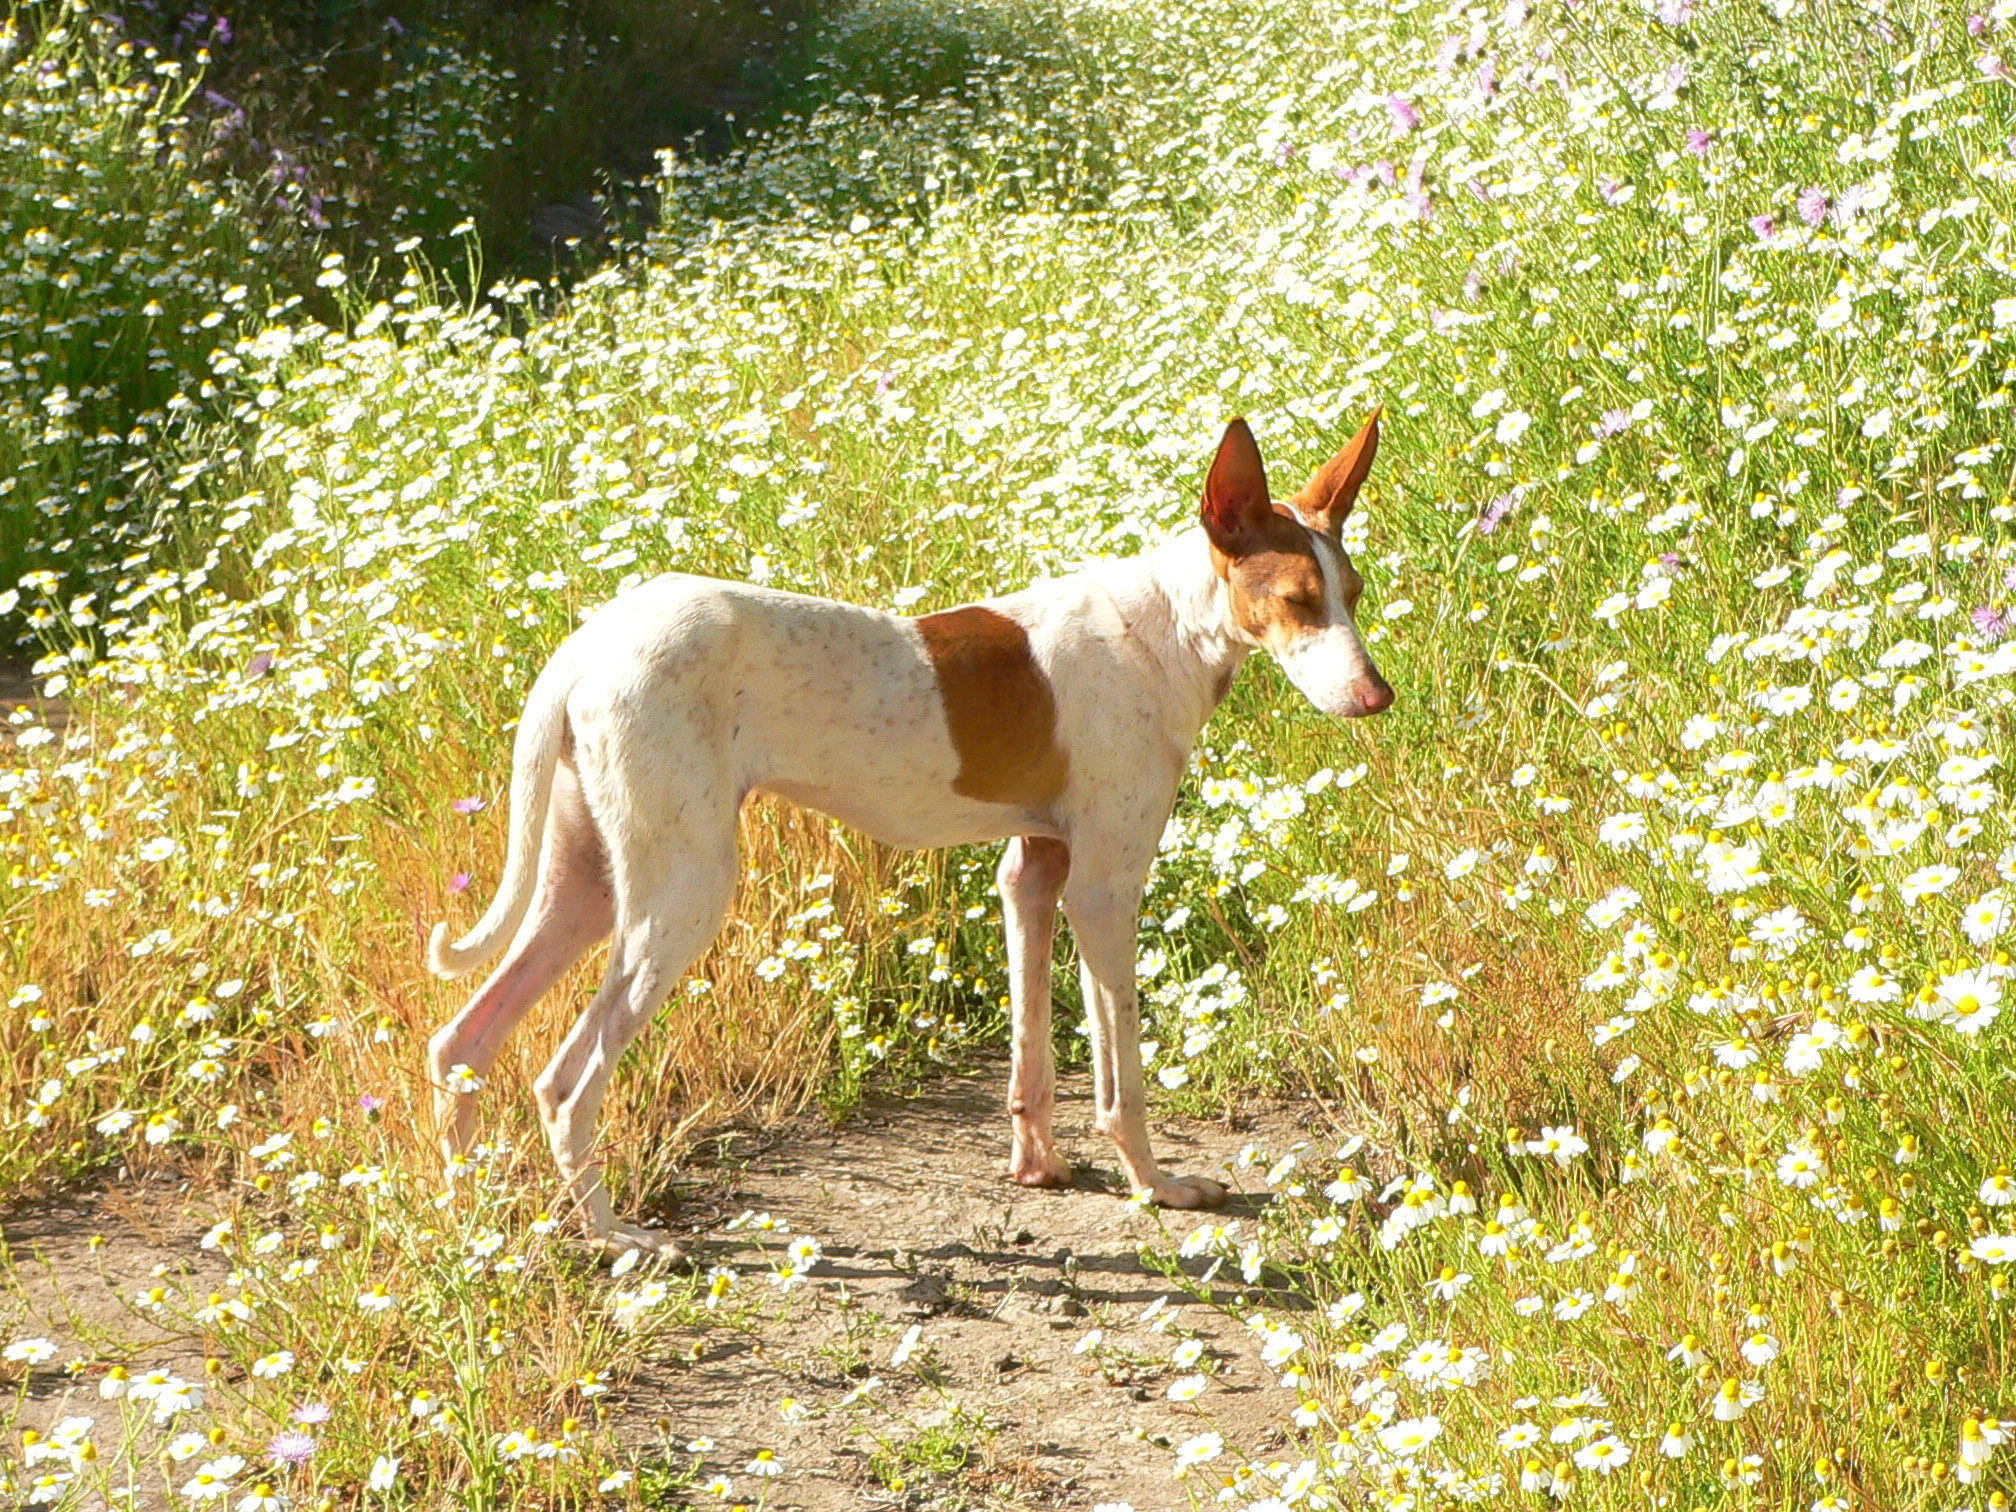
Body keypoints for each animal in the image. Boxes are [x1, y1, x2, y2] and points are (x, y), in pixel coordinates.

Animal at [425, 409, 1395, 1257]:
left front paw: (1037, 1167)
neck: (1165, 623)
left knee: (462, 1041)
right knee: (562, 1082)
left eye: (1350, 594)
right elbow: (1120, 1077)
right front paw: (1157, 1187)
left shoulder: (1032, 871)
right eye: (1298, 600)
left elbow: (1033, 1059)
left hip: (588, 885)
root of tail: (583, 648)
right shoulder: (1104, 889)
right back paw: (615, 1237)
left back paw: (477, 1225)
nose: (1377, 696)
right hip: (680, 894)